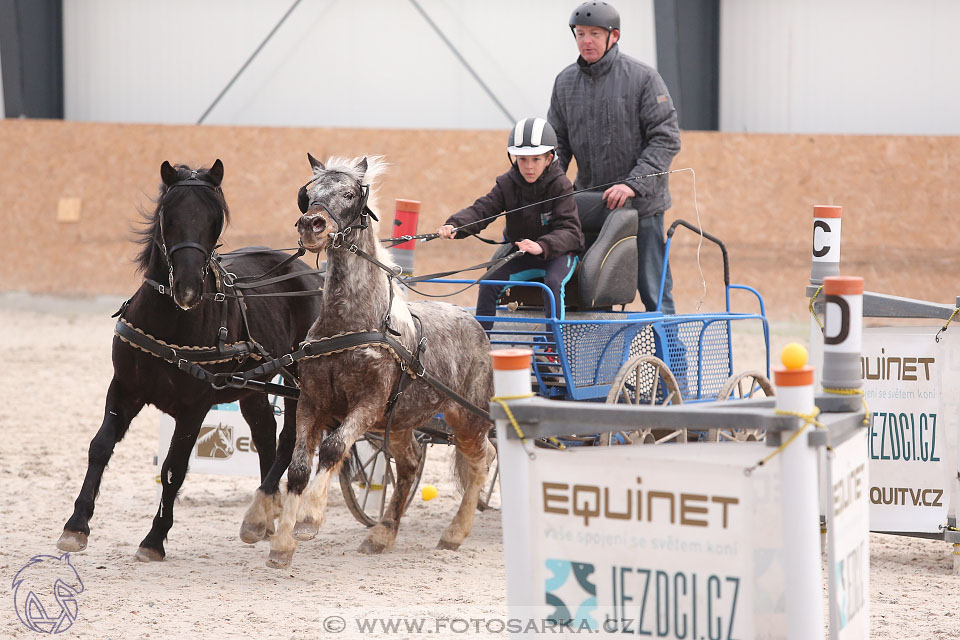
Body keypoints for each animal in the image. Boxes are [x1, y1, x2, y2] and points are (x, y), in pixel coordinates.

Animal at [59, 160, 322, 560]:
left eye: (215, 220)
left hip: (298, 381)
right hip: (253, 387)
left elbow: (173, 468)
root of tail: (311, 275)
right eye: (168, 215)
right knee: (265, 433)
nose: (187, 288)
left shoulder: (194, 407)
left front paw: (154, 539)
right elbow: (100, 447)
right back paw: (262, 514)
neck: (170, 322)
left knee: (288, 438)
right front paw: (76, 526)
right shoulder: (124, 389)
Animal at [244, 155, 496, 568]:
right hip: (400, 424)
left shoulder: (368, 403)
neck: (352, 322)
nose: (311, 224)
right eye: (309, 194)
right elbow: (298, 469)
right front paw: (281, 545)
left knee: (480, 461)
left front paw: (309, 520)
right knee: (410, 464)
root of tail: (473, 320)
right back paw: (383, 533)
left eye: (349, 193)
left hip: (468, 417)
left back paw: (455, 533)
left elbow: (334, 449)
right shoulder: (312, 402)